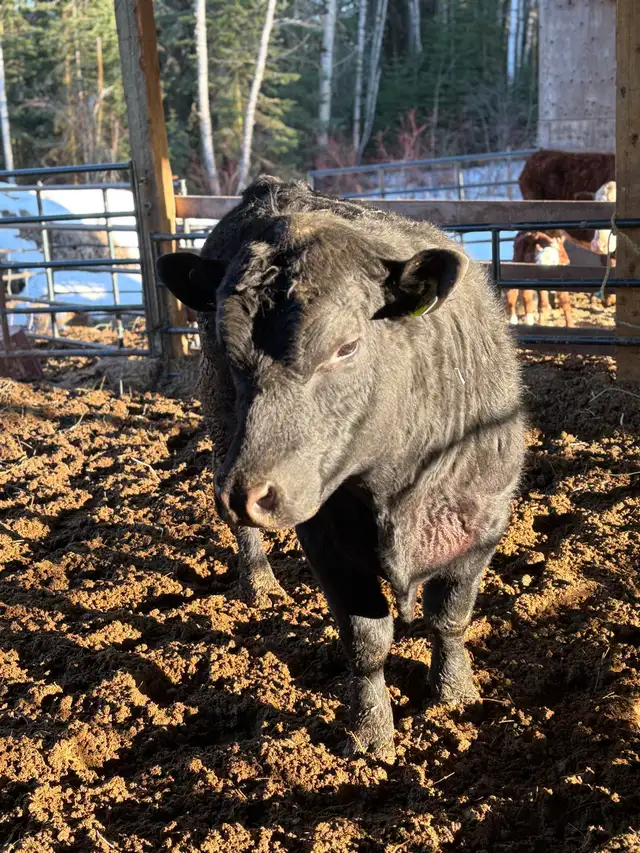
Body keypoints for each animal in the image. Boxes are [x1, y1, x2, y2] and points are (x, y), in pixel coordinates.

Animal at [155, 176, 525, 762]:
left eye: (347, 346)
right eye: (228, 348)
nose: (249, 494)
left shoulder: (480, 524)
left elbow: (450, 616)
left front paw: (456, 694)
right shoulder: (325, 541)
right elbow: (366, 640)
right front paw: (371, 734)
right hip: (221, 434)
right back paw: (259, 583)